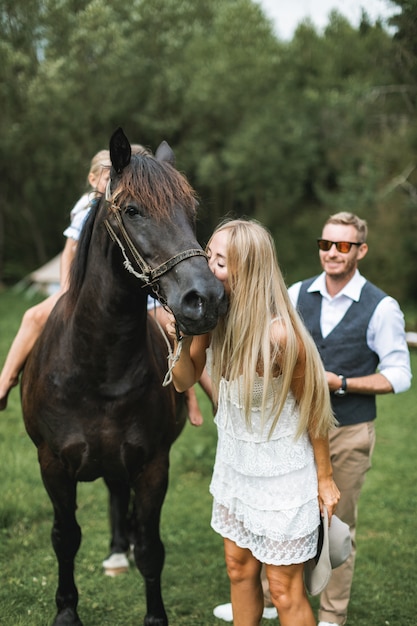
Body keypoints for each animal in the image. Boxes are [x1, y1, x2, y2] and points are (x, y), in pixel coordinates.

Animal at [21, 128, 226, 624]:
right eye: (133, 210)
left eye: (191, 211)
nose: (206, 299)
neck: (98, 370)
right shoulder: (52, 466)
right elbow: (65, 539)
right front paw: (66, 611)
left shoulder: (153, 465)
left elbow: (152, 548)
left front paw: (155, 614)